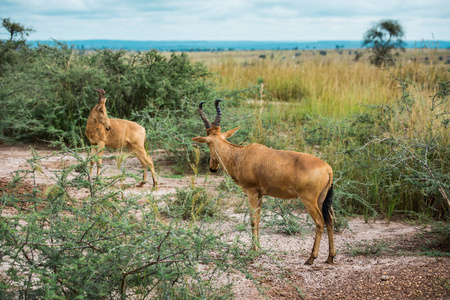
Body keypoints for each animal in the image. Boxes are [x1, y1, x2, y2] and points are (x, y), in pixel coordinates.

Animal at [192, 100, 336, 264]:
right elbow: (259, 218)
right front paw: (258, 247)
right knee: (330, 220)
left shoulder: (252, 192)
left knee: (320, 221)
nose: (212, 168)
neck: (241, 154)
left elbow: (253, 219)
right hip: (322, 199)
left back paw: (311, 258)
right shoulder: (261, 194)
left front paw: (253, 249)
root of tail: (328, 169)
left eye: (207, 143)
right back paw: (330, 257)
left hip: (309, 200)